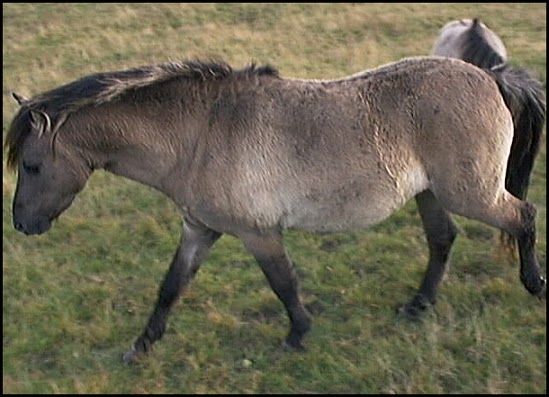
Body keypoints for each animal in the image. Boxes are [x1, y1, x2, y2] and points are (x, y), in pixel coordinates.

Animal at [6, 55, 544, 362]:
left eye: (30, 165)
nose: (22, 225)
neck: (200, 132)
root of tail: (490, 76)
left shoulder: (258, 233)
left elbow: (283, 284)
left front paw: (297, 336)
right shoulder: (198, 231)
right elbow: (170, 288)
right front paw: (140, 347)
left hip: (469, 192)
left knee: (523, 216)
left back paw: (533, 285)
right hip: (431, 193)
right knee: (443, 239)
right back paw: (418, 305)